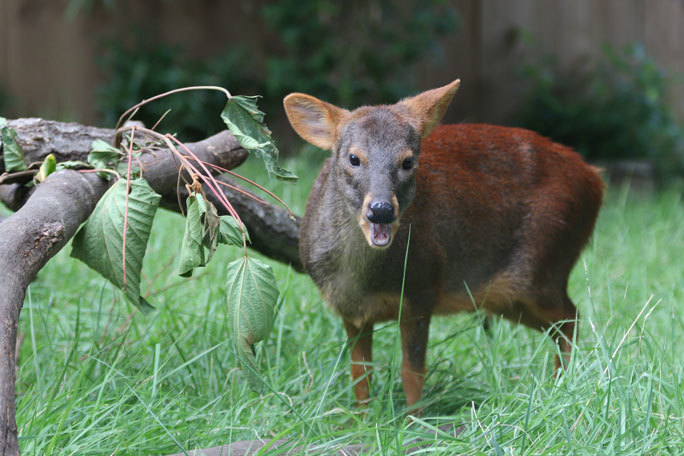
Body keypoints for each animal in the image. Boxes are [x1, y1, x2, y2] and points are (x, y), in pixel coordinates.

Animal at [284, 80, 604, 408]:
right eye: (353, 158)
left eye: (408, 161)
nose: (381, 209)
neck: (359, 280)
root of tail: (595, 180)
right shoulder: (349, 309)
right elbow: (360, 374)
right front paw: (362, 416)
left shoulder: (421, 290)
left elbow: (412, 373)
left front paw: (413, 418)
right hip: (510, 296)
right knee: (563, 324)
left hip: (544, 266)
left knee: (572, 317)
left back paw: (563, 385)